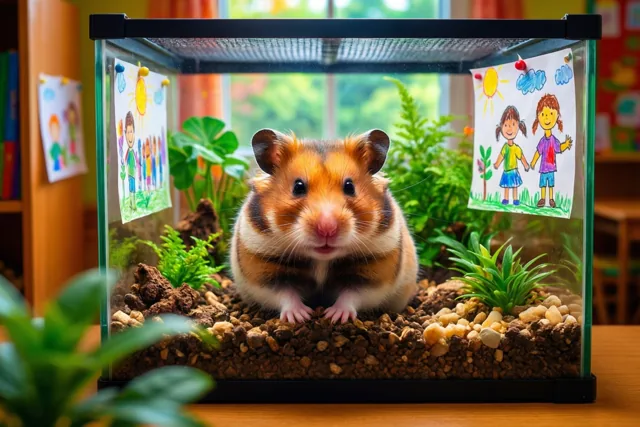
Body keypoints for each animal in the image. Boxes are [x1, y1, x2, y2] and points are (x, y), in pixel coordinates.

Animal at [230, 128, 418, 324]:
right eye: (298, 187)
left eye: (350, 187)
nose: (327, 229)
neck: (322, 259)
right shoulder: (263, 270)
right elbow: (285, 294)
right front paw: (300, 316)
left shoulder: (374, 272)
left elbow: (352, 295)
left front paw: (335, 316)